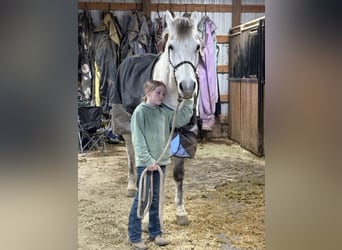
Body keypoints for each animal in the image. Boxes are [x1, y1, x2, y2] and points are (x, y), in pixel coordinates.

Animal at [111, 10, 200, 226]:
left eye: (198, 46)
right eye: (170, 46)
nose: (187, 87)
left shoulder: (183, 134)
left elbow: (177, 174)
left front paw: (181, 212)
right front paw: (147, 218)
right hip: (125, 124)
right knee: (131, 153)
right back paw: (131, 186)